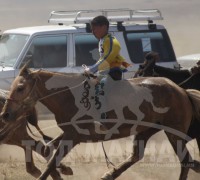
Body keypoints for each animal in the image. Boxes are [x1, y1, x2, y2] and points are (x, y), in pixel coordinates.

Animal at [1, 65, 200, 180]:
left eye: (20, 88)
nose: (5, 114)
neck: (69, 96)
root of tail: (181, 90)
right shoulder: (67, 133)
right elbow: (46, 149)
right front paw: (64, 170)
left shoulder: (74, 136)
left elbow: (51, 161)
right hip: (146, 130)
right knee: (137, 155)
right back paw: (109, 175)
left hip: (174, 132)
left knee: (185, 162)